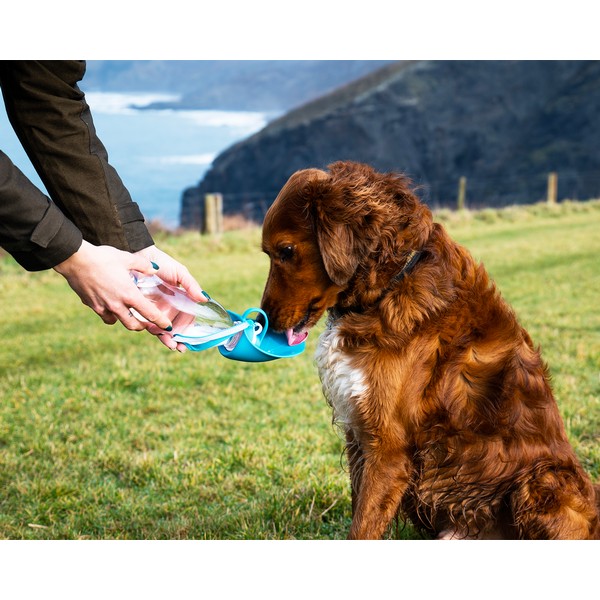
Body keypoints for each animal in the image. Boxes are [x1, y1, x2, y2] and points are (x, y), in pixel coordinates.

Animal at [262, 159, 600, 540]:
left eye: (286, 251)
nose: (262, 321)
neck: (391, 282)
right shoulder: (358, 434)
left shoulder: (387, 447)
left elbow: (362, 528)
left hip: (540, 479)